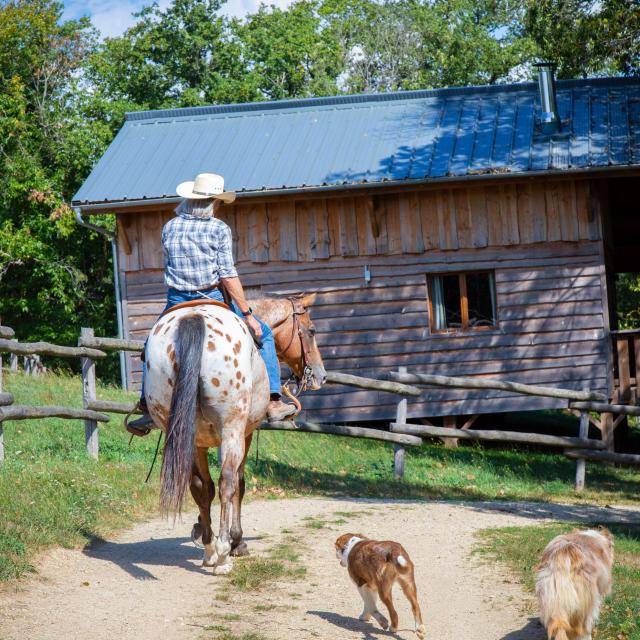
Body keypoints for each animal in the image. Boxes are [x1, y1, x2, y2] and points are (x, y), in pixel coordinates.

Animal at [144, 292, 324, 572]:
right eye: (312, 330)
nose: (320, 375)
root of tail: (194, 320)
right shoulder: (245, 434)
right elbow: (239, 482)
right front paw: (236, 540)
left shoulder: (201, 441)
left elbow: (204, 487)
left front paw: (201, 529)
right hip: (232, 429)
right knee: (227, 482)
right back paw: (222, 554)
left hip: (187, 431)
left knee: (200, 485)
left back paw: (210, 548)